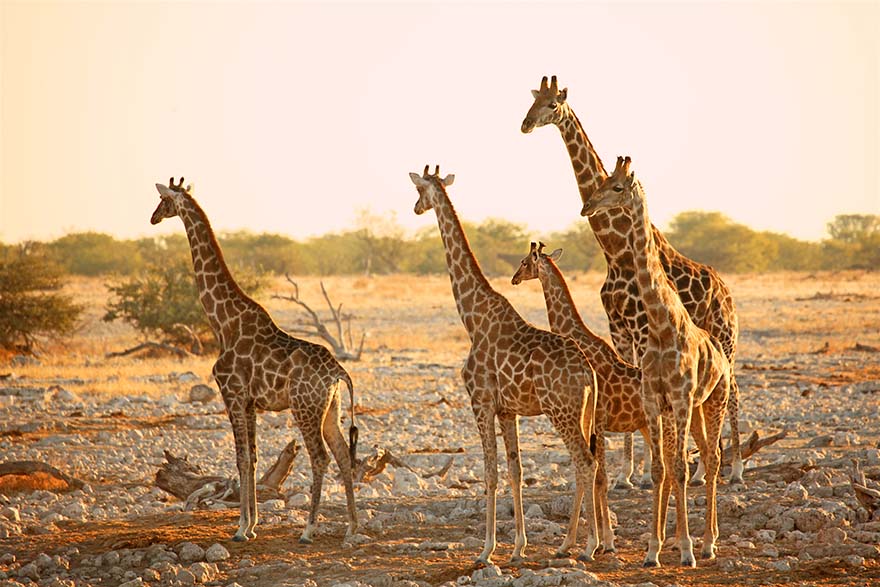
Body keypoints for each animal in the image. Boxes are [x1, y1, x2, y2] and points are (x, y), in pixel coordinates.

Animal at [150, 177, 358, 543]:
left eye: (163, 200)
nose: (152, 218)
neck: (223, 323)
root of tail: (338, 372)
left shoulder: (231, 393)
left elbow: (241, 457)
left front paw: (240, 528)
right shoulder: (250, 402)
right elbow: (254, 457)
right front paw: (252, 524)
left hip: (304, 407)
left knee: (320, 457)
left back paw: (308, 529)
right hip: (330, 409)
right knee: (343, 455)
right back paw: (351, 526)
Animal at [409, 166, 601, 564]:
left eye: (419, 190)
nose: (415, 208)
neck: (471, 317)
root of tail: (588, 373)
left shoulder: (480, 402)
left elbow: (491, 473)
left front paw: (486, 550)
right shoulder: (507, 410)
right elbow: (515, 470)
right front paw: (518, 548)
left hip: (561, 412)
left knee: (585, 462)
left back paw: (588, 545)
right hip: (582, 413)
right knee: (586, 462)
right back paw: (576, 543)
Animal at [511, 240, 651, 553]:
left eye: (525, 262)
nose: (513, 279)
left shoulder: (598, 419)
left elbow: (599, 478)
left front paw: (603, 541)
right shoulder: (595, 423)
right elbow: (592, 476)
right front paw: (596, 540)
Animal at [521, 75, 743, 485]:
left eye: (552, 105)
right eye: (531, 100)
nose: (525, 124)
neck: (615, 250)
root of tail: (725, 290)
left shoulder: (640, 326)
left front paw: (642, 473)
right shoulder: (619, 329)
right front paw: (628, 474)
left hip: (725, 335)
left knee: (733, 390)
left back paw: (733, 469)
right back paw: (702, 469)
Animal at [588, 157, 730, 567]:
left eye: (618, 187)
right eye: (604, 180)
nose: (587, 206)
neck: (662, 324)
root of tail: (721, 355)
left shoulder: (679, 398)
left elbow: (680, 468)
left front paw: (685, 549)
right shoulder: (655, 399)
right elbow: (659, 469)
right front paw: (652, 549)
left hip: (713, 400)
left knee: (713, 458)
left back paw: (707, 544)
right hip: (695, 410)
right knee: (702, 456)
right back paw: (701, 540)